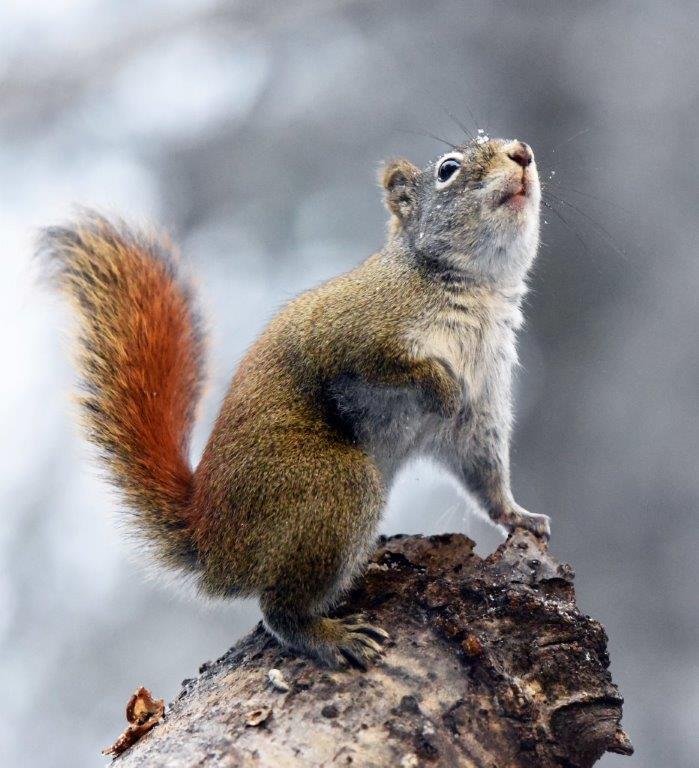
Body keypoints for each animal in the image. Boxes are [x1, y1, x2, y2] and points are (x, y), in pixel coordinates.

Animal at [42, 136, 550, 669]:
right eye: (448, 169)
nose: (522, 153)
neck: (475, 289)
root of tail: (213, 543)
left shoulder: (482, 403)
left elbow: (484, 469)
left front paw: (517, 515)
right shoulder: (353, 333)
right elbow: (387, 367)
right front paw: (439, 385)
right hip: (329, 488)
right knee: (278, 607)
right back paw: (328, 635)